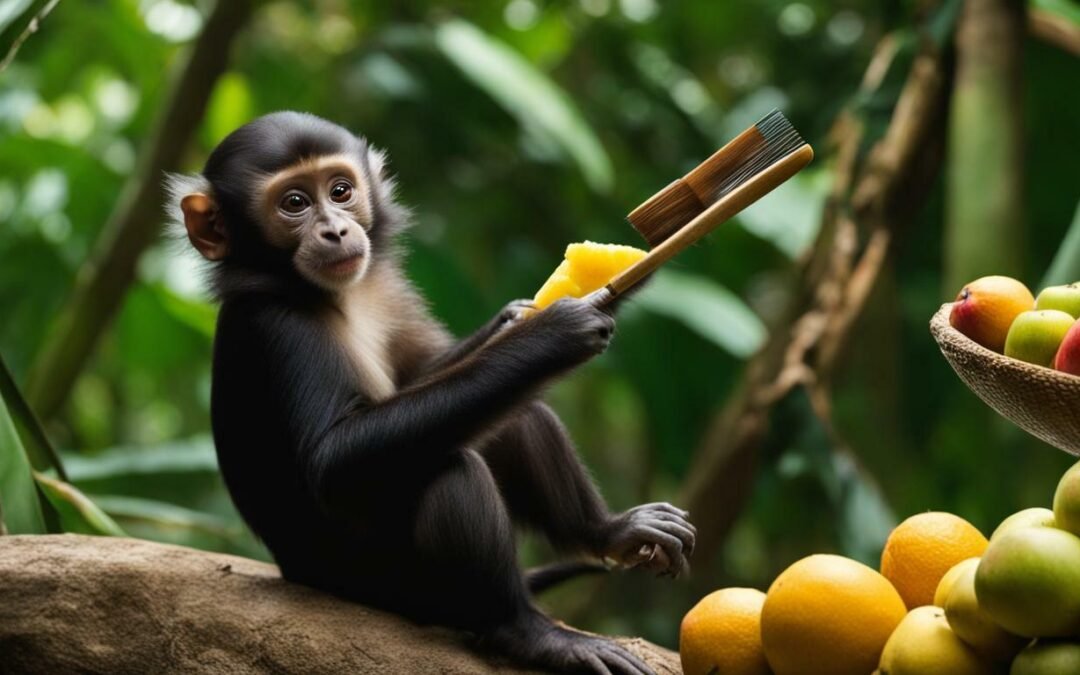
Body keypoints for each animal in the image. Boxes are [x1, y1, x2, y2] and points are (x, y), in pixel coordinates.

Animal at [167, 111, 696, 675]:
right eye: (294, 203)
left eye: (340, 191)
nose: (336, 230)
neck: (330, 295)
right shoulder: (279, 326)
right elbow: (332, 459)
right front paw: (549, 335)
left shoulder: (387, 291)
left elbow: (427, 378)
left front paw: (526, 317)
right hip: (390, 583)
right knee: (453, 470)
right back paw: (529, 633)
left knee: (514, 411)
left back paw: (609, 532)